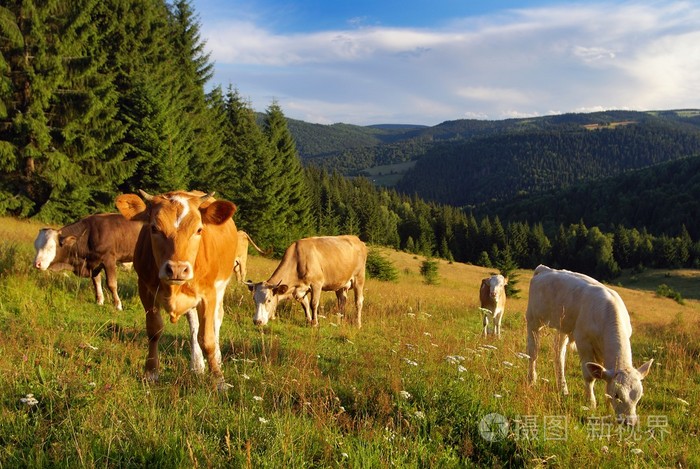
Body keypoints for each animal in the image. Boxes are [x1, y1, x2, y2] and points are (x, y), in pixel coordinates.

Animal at [113, 188, 237, 386]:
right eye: (154, 228)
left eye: (199, 230)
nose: (177, 269)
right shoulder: (145, 289)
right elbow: (154, 330)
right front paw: (151, 372)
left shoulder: (209, 294)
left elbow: (207, 338)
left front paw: (219, 380)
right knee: (194, 325)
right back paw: (197, 366)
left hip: (220, 289)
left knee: (216, 321)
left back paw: (216, 359)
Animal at [528, 266, 652, 426]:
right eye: (617, 395)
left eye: (639, 396)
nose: (630, 422)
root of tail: (544, 269)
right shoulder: (583, 342)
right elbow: (589, 376)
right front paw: (591, 403)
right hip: (533, 319)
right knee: (533, 352)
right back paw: (532, 380)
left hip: (563, 327)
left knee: (558, 354)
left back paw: (563, 389)